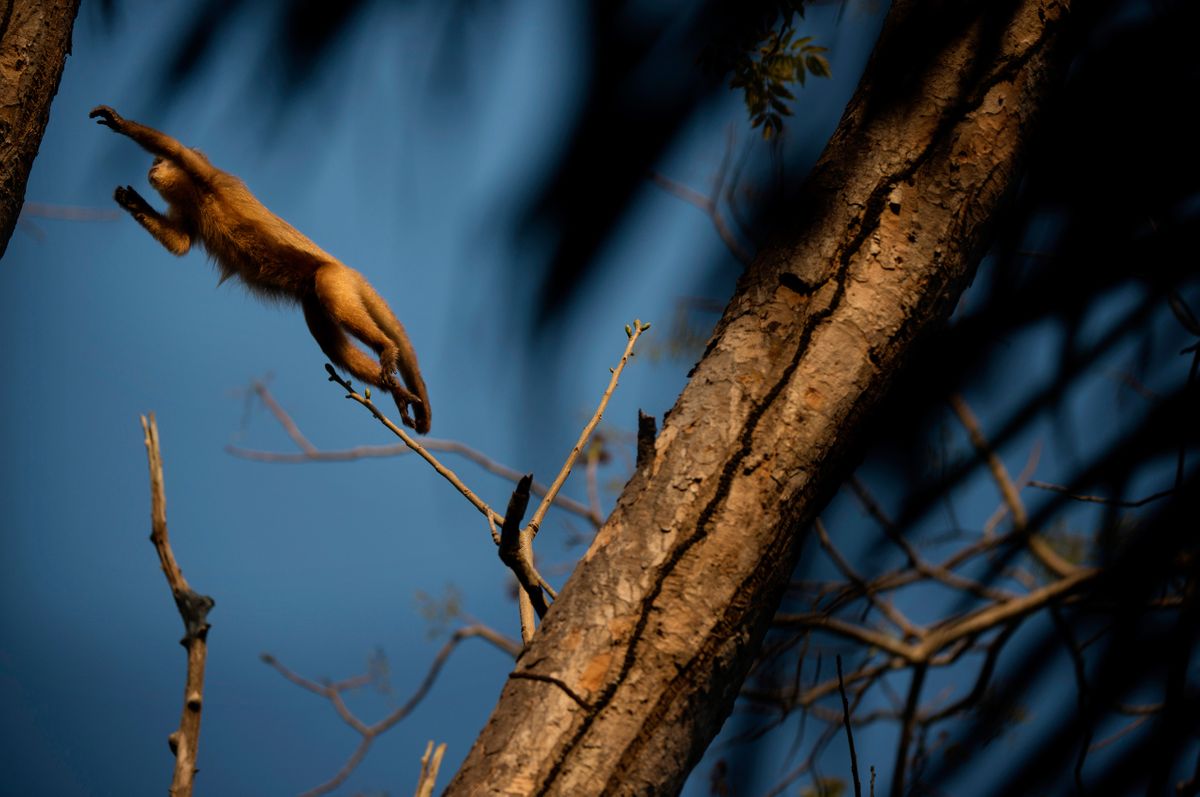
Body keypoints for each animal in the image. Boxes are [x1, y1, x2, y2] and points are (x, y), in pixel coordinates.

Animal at [90, 105, 432, 434]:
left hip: (333, 278)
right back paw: (397, 391)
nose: (152, 168)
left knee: (337, 305)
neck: (194, 193)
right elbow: (180, 243)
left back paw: (386, 348)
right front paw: (129, 200)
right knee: (331, 345)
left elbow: (176, 149)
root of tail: (347, 269)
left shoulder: (208, 174)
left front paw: (119, 122)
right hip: (313, 296)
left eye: (159, 161)